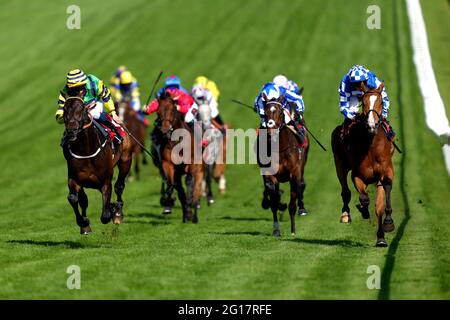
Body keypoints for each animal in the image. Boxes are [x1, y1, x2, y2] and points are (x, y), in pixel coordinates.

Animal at [61, 96, 132, 234]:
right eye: (65, 110)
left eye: (82, 109)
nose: (71, 131)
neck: (86, 151)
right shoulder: (74, 179)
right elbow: (75, 198)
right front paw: (84, 223)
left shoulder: (105, 181)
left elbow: (105, 216)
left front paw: (113, 210)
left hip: (126, 160)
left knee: (119, 186)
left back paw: (118, 213)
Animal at [156, 91, 203, 224]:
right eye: (158, 112)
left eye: (172, 110)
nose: (165, 131)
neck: (176, 141)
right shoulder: (167, 164)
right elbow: (171, 183)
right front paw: (168, 203)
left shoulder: (191, 163)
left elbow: (189, 181)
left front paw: (189, 202)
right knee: (179, 188)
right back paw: (186, 214)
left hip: (200, 170)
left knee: (196, 190)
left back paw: (194, 214)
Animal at [256, 94, 310, 236]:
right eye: (265, 113)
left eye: (280, 112)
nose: (271, 130)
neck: (279, 149)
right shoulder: (270, 175)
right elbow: (273, 199)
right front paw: (276, 230)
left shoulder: (294, 174)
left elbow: (292, 202)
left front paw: (293, 229)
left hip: (302, 164)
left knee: (301, 184)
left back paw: (302, 208)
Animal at [330, 81, 394, 246]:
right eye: (363, 103)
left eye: (381, 102)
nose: (371, 124)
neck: (370, 146)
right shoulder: (357, 175)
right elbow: (364, 198)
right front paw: (363, 210)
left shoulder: (385, 172)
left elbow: (380, 205)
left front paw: (383, 234)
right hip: (339, 164)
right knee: (345, 191)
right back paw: (346, 214)